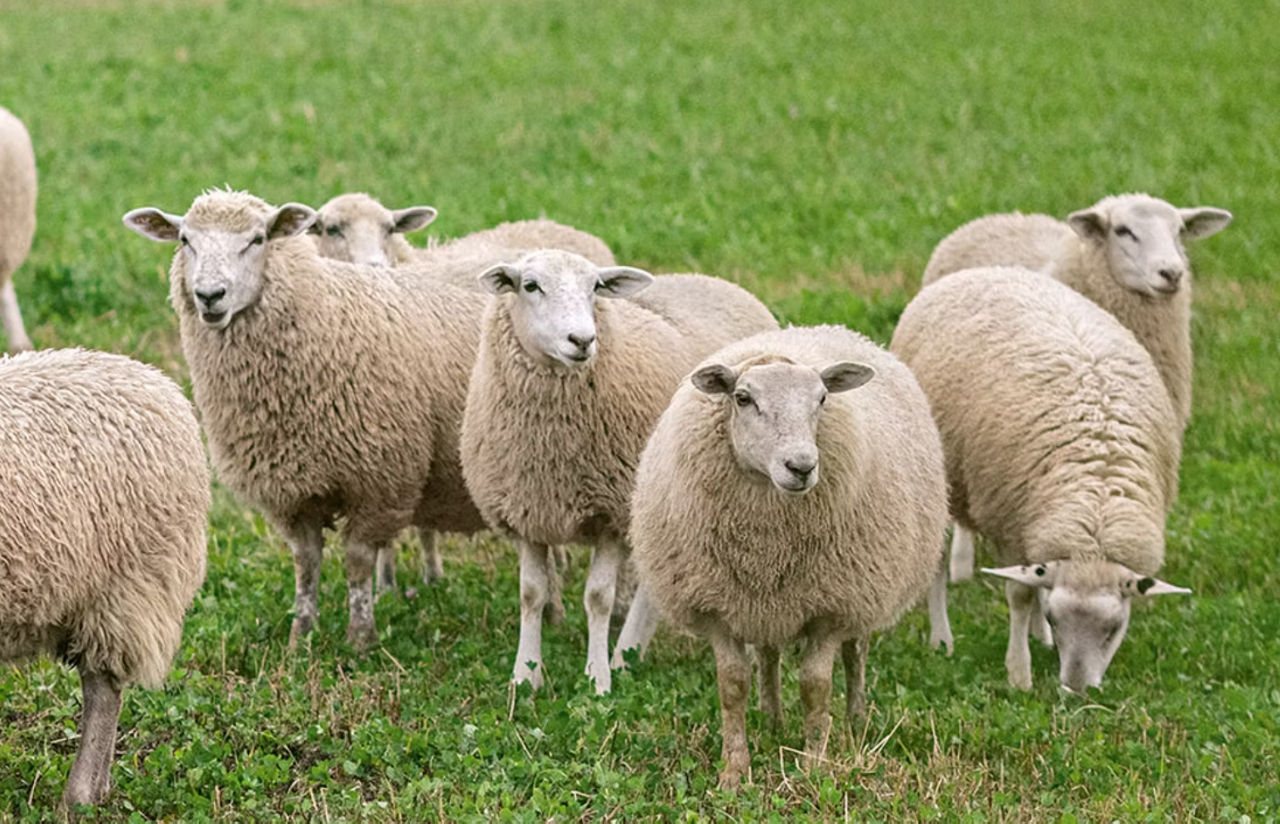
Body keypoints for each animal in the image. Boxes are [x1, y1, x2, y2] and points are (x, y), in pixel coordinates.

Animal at [123, 189, 489, 651]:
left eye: (258, 239)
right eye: (186, 240)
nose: (209, 295)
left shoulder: (381, 480)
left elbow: (357, 562)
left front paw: (360, 639)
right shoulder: (290, 489)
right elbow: (306, 563)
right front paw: (302, 636)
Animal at [309, 193, 616, 595]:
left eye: (390, 229)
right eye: (331, 229)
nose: (374, 266)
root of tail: (558, 225)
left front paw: (409, 578)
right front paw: (398, 581)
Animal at [460, 249, 778, 694]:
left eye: (595, 287)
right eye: (530, 286)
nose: (582, 340)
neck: (550, 445)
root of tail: (719, 282)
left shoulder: (611, 511)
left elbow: (598, 597)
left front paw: (598, 679)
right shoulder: (526, 510)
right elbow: (531, 594)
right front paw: (525, 676)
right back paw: (629, 653)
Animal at [630, 325, 948, 789]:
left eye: (822, 398)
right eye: (742, 398)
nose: (801, 466)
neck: (768, 539)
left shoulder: (832, 607)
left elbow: (815, 687)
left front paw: (814, 764)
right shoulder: (717, 607)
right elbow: (732, 687)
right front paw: (734, 770)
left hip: (865, 587)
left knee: (856, 652)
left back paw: (855, 719)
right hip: (765, 602)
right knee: (768, 654)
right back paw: (772, 718)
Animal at [890, 266, 1191, 694]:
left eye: (1114, 629)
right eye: (1056, 617)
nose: (1077, 690)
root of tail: (983, 270)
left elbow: (1036, 584)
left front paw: (1037, 638)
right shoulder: (1008, 522)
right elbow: (1019, 594)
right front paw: (1019, 672)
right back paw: (941, 639)